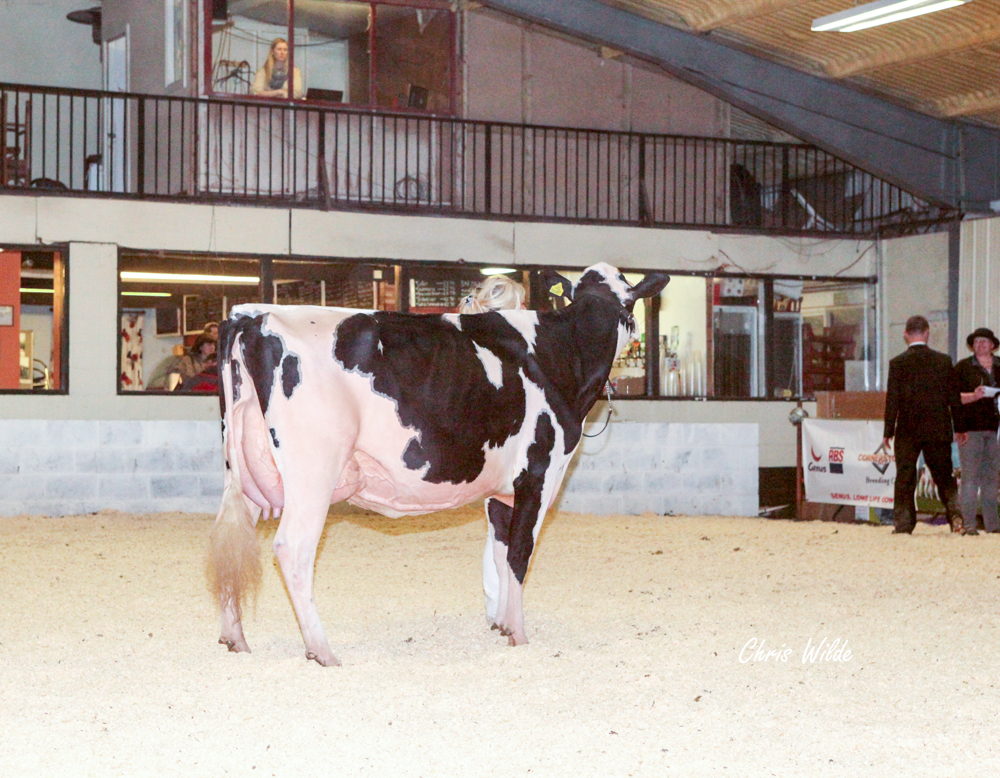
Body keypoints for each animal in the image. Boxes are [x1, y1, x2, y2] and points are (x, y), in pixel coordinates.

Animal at [208, 260, 668, 660]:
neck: (564, 352)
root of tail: (253, 314)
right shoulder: (538, 474)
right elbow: (519, 555)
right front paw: (519, 636)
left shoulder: (501, 491)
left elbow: (499, 554)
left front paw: (502, 625)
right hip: (313, 469)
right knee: (293, 549)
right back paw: (322, 652)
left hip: (242, 469)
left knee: (229, 538)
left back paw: (235, 639)